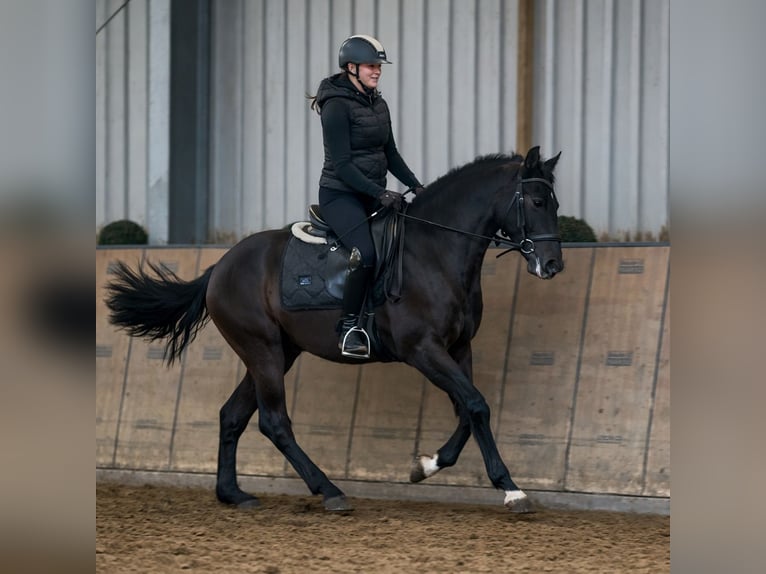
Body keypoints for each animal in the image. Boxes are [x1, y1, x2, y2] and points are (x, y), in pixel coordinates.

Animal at [105, 146, 563, 513]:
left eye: (555, 203)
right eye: (537, 200)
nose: (553, 265)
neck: (434, 252)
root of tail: (220, 267)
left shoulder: (458, 347)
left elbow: (469, 411)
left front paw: (426, 466)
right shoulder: (423, 350)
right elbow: (476, 405)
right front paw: (511, 490)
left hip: (279, 352)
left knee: (232, 415)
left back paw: (233, 494)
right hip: (262, 350)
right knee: (274, 422)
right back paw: (329, 491)